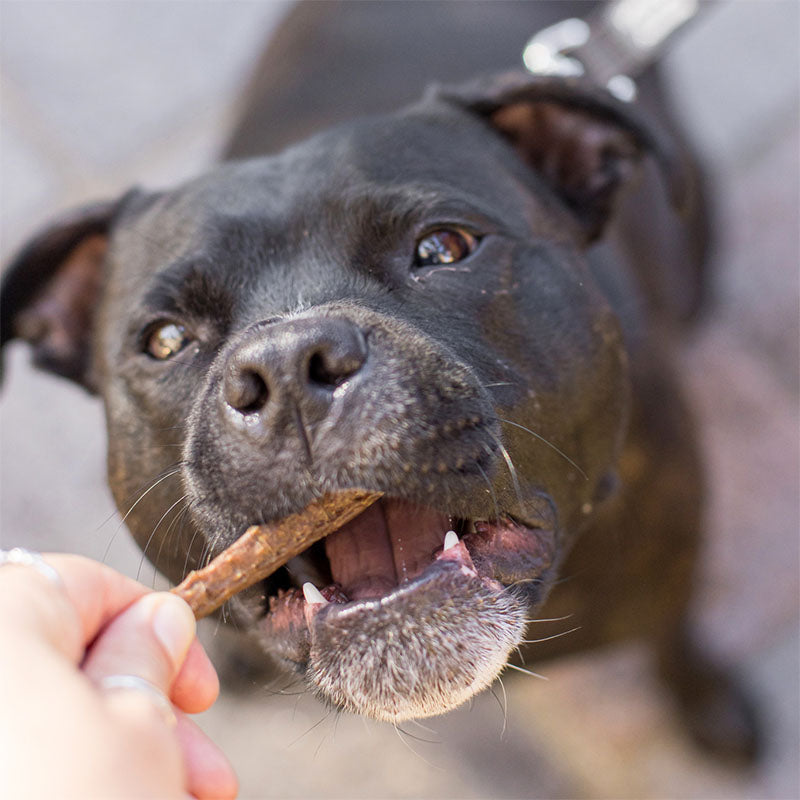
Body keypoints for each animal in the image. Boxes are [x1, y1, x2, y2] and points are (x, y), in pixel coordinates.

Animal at [0, 0, 760, 764]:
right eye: (164, 340)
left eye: (444, 247)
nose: (288, 366)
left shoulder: (673, 556)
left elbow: (674, 643)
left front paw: (709, 707)